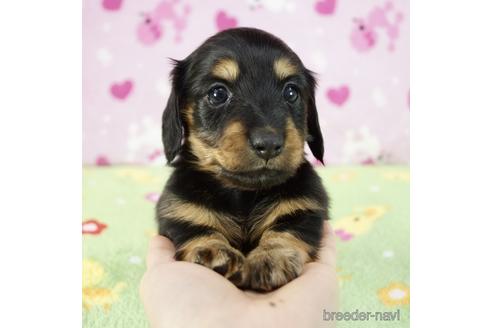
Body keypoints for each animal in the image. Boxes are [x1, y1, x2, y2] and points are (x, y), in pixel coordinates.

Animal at [156, 26, 328, 290]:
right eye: (218, 93)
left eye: (291, 92)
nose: (269, 144)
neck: (243, 194)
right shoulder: (180, 211)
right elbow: (198, 228)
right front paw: (213, 252)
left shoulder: (304, 207)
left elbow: (285, 231)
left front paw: (271, 258)